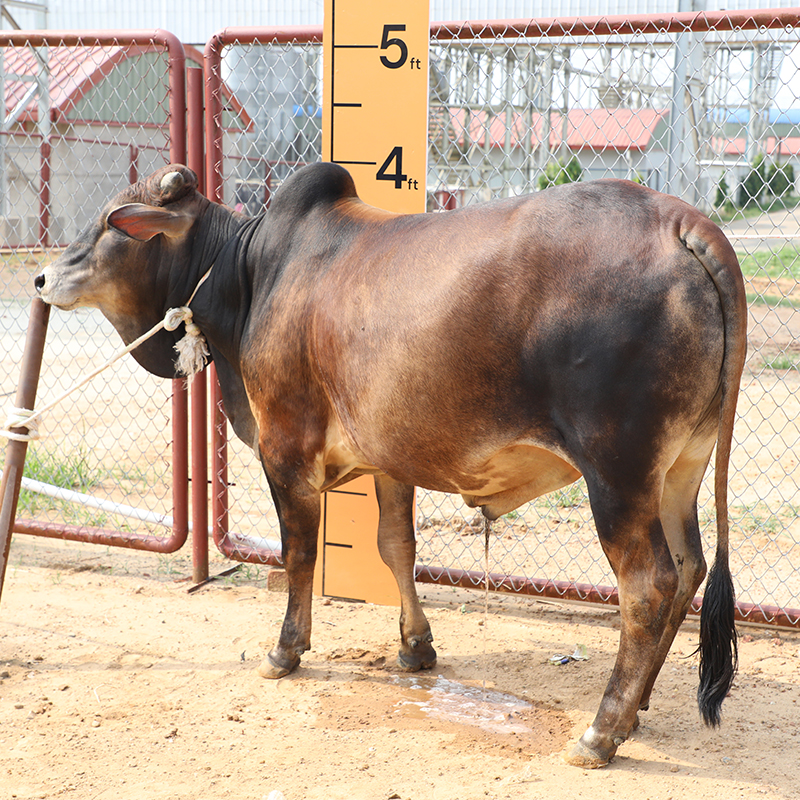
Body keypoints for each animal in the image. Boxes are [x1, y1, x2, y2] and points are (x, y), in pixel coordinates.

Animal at [34, 161, 747, 768]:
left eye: (110, 223)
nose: (41, 278)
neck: (247, 272)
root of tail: (684, 221)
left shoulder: (285, 449)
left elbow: (300, 553)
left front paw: (285, 650)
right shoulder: (390, 459)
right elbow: (395, 547)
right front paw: (415, 647)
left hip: (618, 474)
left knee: (647, 585)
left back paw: (601, 730)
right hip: (678, 471)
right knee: (688, 569)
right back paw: (636, 707)